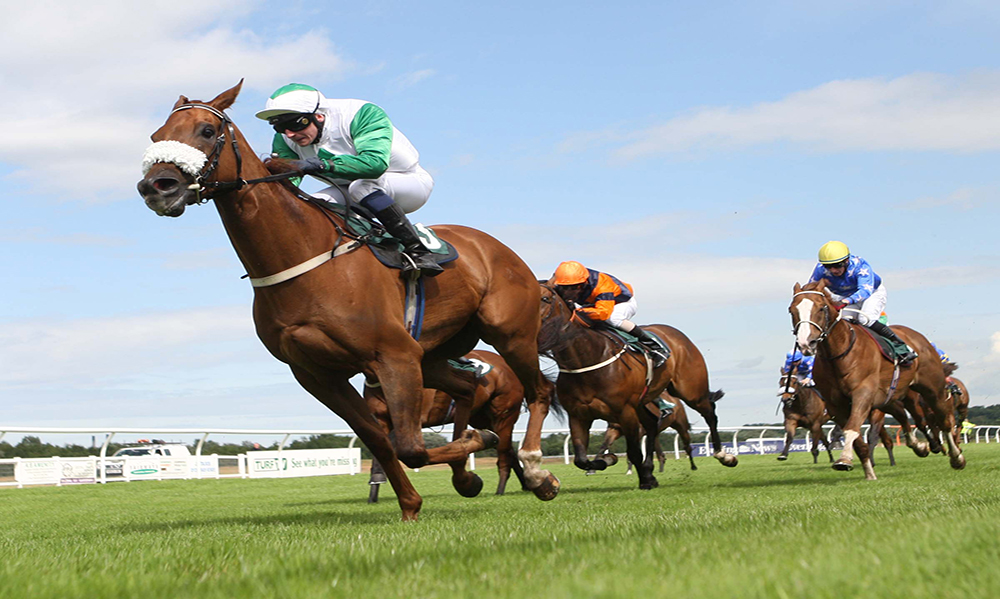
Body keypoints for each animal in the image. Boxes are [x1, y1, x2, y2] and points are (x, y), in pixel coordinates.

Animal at [364, 349, 528, 503]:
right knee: (508, 450)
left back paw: (500, 489)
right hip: (482, 419)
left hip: (504, 416)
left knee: (504, 454)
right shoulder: (380, 418)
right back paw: (525, 484)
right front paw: (374, 491)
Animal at [537, 284, 730, 490]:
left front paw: (644, 479)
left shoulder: (625, 412)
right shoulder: (578, 415)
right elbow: (581, 459)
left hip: (690, 391)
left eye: (545, 298)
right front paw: (609, 461)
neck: (586, 359)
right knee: (652, 425)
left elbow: (634, 452)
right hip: (642, 403)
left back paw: (723, 455)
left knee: (709, 413)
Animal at [789, 280, 964, 480]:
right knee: (908, 418)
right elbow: (857, 437)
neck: (838, 354)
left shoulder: (863, 393)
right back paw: (920, 446)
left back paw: (956, 457)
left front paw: (845, 459)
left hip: (932, 388)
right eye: (791, 310)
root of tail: (917, 336)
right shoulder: (835, 405)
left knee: (944, 421)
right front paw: (868, 472)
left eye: (820, 308)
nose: (806, 343)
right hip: (893, 398)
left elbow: (852, 427)